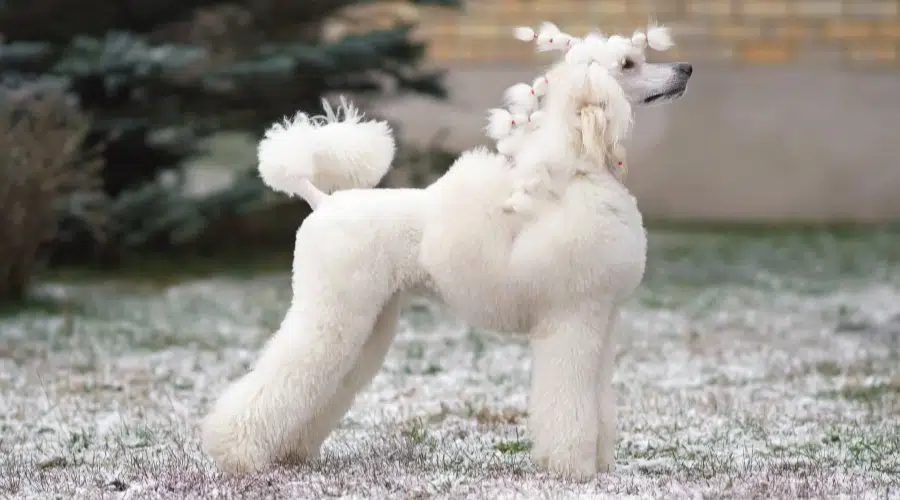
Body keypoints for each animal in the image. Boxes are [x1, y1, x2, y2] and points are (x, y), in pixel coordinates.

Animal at [200, 23, 692, 480]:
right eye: (629, 64)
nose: (686, 69)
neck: (579, 172)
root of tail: (321, 200)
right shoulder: (572, 316)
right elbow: (569, 400)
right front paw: (572, 468)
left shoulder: (603, 319)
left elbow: (599, 400)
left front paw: (601, 464)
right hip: (332, 308)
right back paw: (238, 454)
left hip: (367, 319)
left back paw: (290, 454)